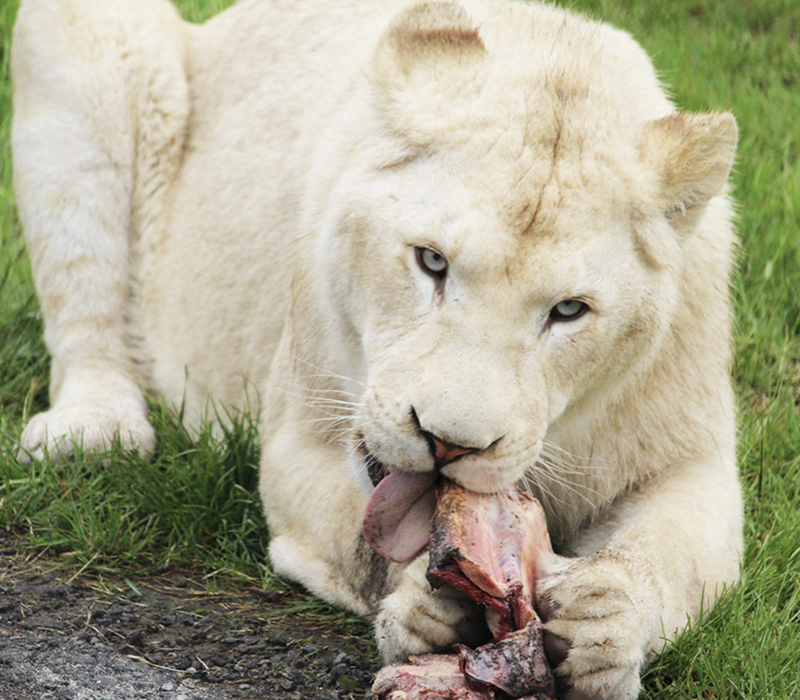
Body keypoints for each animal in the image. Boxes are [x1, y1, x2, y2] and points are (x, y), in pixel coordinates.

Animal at [11, 0, 743, 698]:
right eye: (431, 261)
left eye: (568, 311)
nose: (448, 444)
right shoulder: (296, 442)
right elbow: (362, 541)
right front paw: (428, 600)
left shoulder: (691, 459)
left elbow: (666, 555)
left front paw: (603, 625)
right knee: (89, 312)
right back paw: (93, 432)